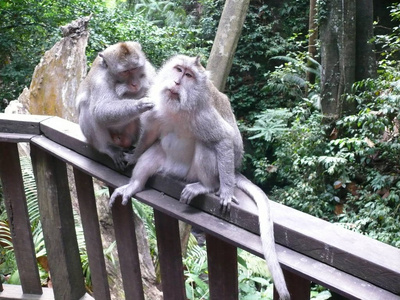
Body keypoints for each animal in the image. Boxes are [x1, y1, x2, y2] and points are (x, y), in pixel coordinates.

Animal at [76, 41, 156, 170]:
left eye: (135, 68)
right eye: (125, 72)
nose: (134, 84)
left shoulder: (149, 70)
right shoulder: (99, 81)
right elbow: (100, 110)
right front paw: (140, 104)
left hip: (129, 135)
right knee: (87, 108)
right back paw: (108, 148)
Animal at [109, 55, 290, 298]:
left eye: (188, 75)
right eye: (178, 69)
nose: (177, 82)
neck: (176, 109)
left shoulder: (203, 116)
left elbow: (223, 139)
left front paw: (225, 191)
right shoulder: (156, 109)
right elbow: (149, 136)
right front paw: (133, 156)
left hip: (198, 171)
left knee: (207, 146)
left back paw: (207, 186)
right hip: (166, 162)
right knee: (154, 152)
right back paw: (135, 184)